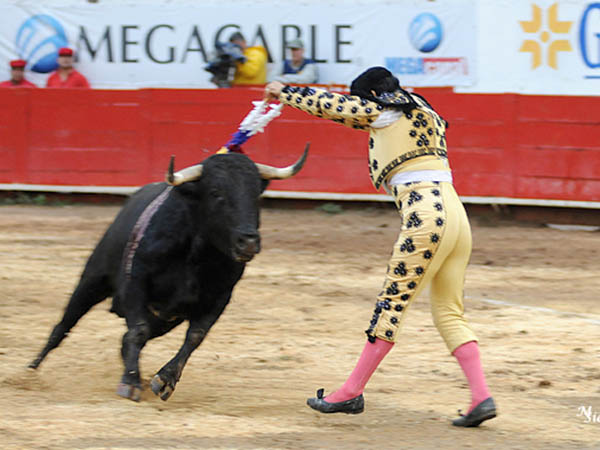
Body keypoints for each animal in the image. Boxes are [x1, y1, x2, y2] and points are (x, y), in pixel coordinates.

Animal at [28, 145, 309, 402]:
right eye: (216, 193)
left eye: (255, 195)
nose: (248, 242)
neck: (197, 254)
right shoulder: (136, 282)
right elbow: (138, 330)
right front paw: (129, 383)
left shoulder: (219, 298)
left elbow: (194, 337)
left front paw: (164, 380)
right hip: (93, 280)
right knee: (65, 323)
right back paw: (31, 371)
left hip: (164, 319)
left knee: (125, 338)